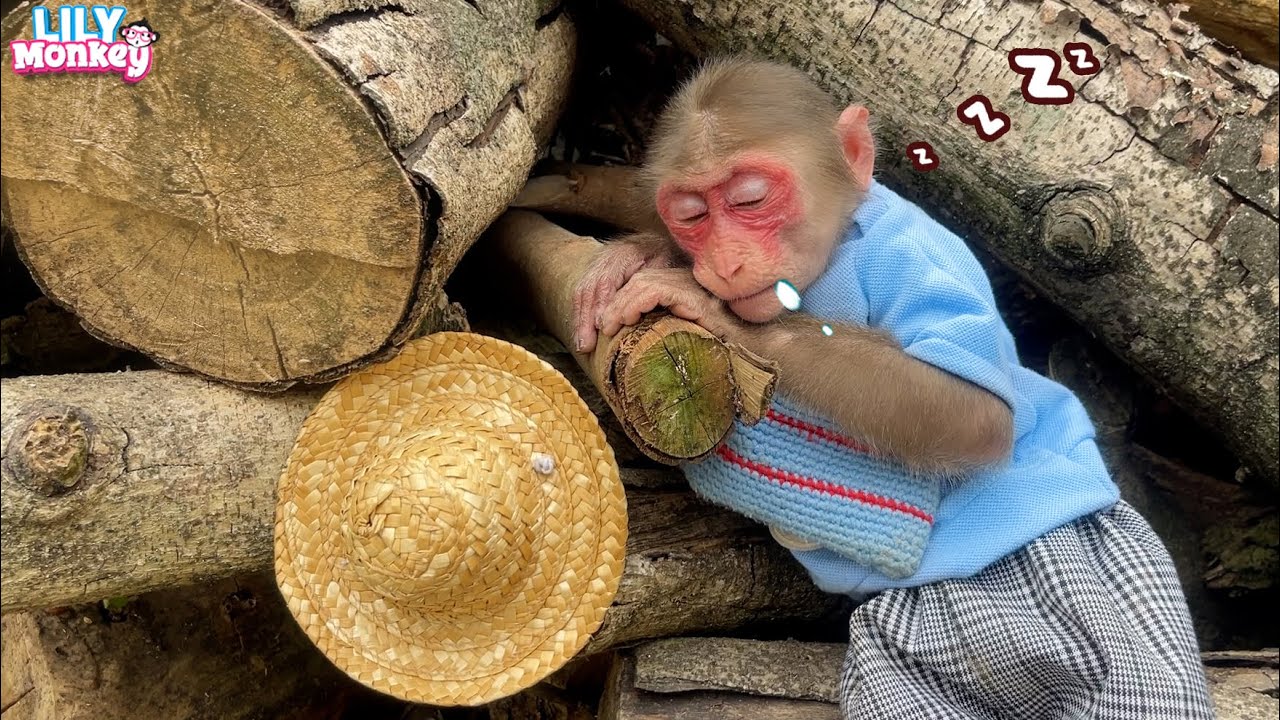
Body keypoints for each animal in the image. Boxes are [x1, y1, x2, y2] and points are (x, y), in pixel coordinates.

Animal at [570, 58, 1013, 476]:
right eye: (691, 216)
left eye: (750, 199)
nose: (726, 263)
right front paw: (641, 253)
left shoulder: (915, 254)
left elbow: (975, 413)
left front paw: (712, 309)